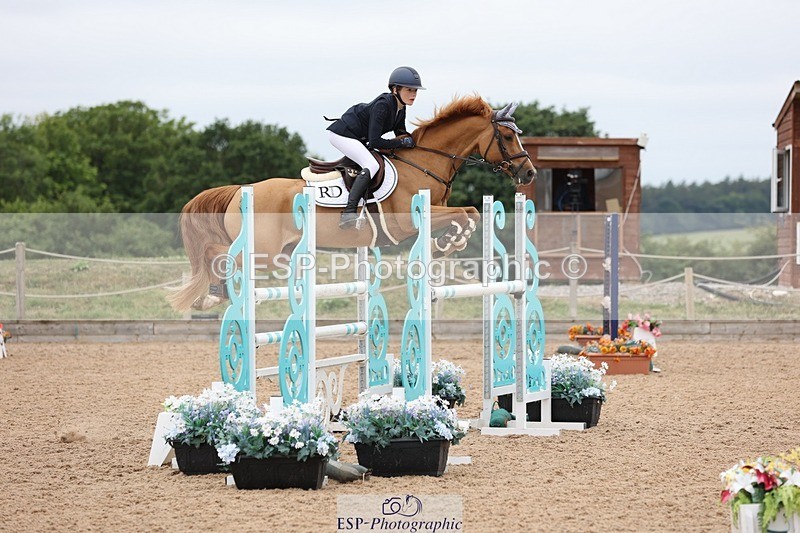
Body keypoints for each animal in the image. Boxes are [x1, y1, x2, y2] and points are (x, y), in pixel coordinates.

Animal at [168, 95, 536, 312]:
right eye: (507, 137)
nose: (529, 172)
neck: (424, 163)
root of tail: (239, 190)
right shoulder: (408, 221)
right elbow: (464, 213)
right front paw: (449, 241)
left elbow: (470, 212)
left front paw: (448, 242)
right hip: (264, 251)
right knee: (218, 254)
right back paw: (213, 293)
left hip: (275, 252)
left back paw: (213, 294)